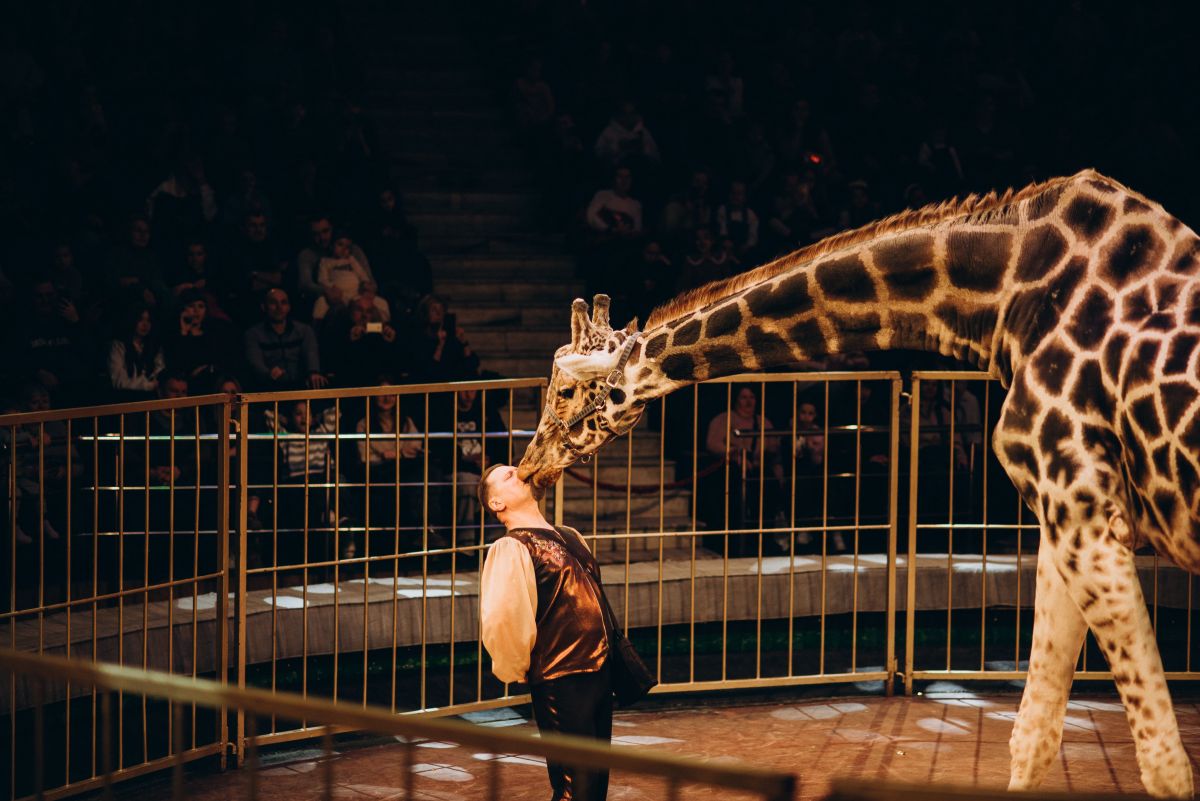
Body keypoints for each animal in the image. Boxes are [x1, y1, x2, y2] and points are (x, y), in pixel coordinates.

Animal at [518, 169, 1199, 797]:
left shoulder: (1080, 505)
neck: (1002, 301)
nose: (528, 468)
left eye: (566, 392)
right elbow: (1034, 733)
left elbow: (1164, 764)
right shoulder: (1071, 513)